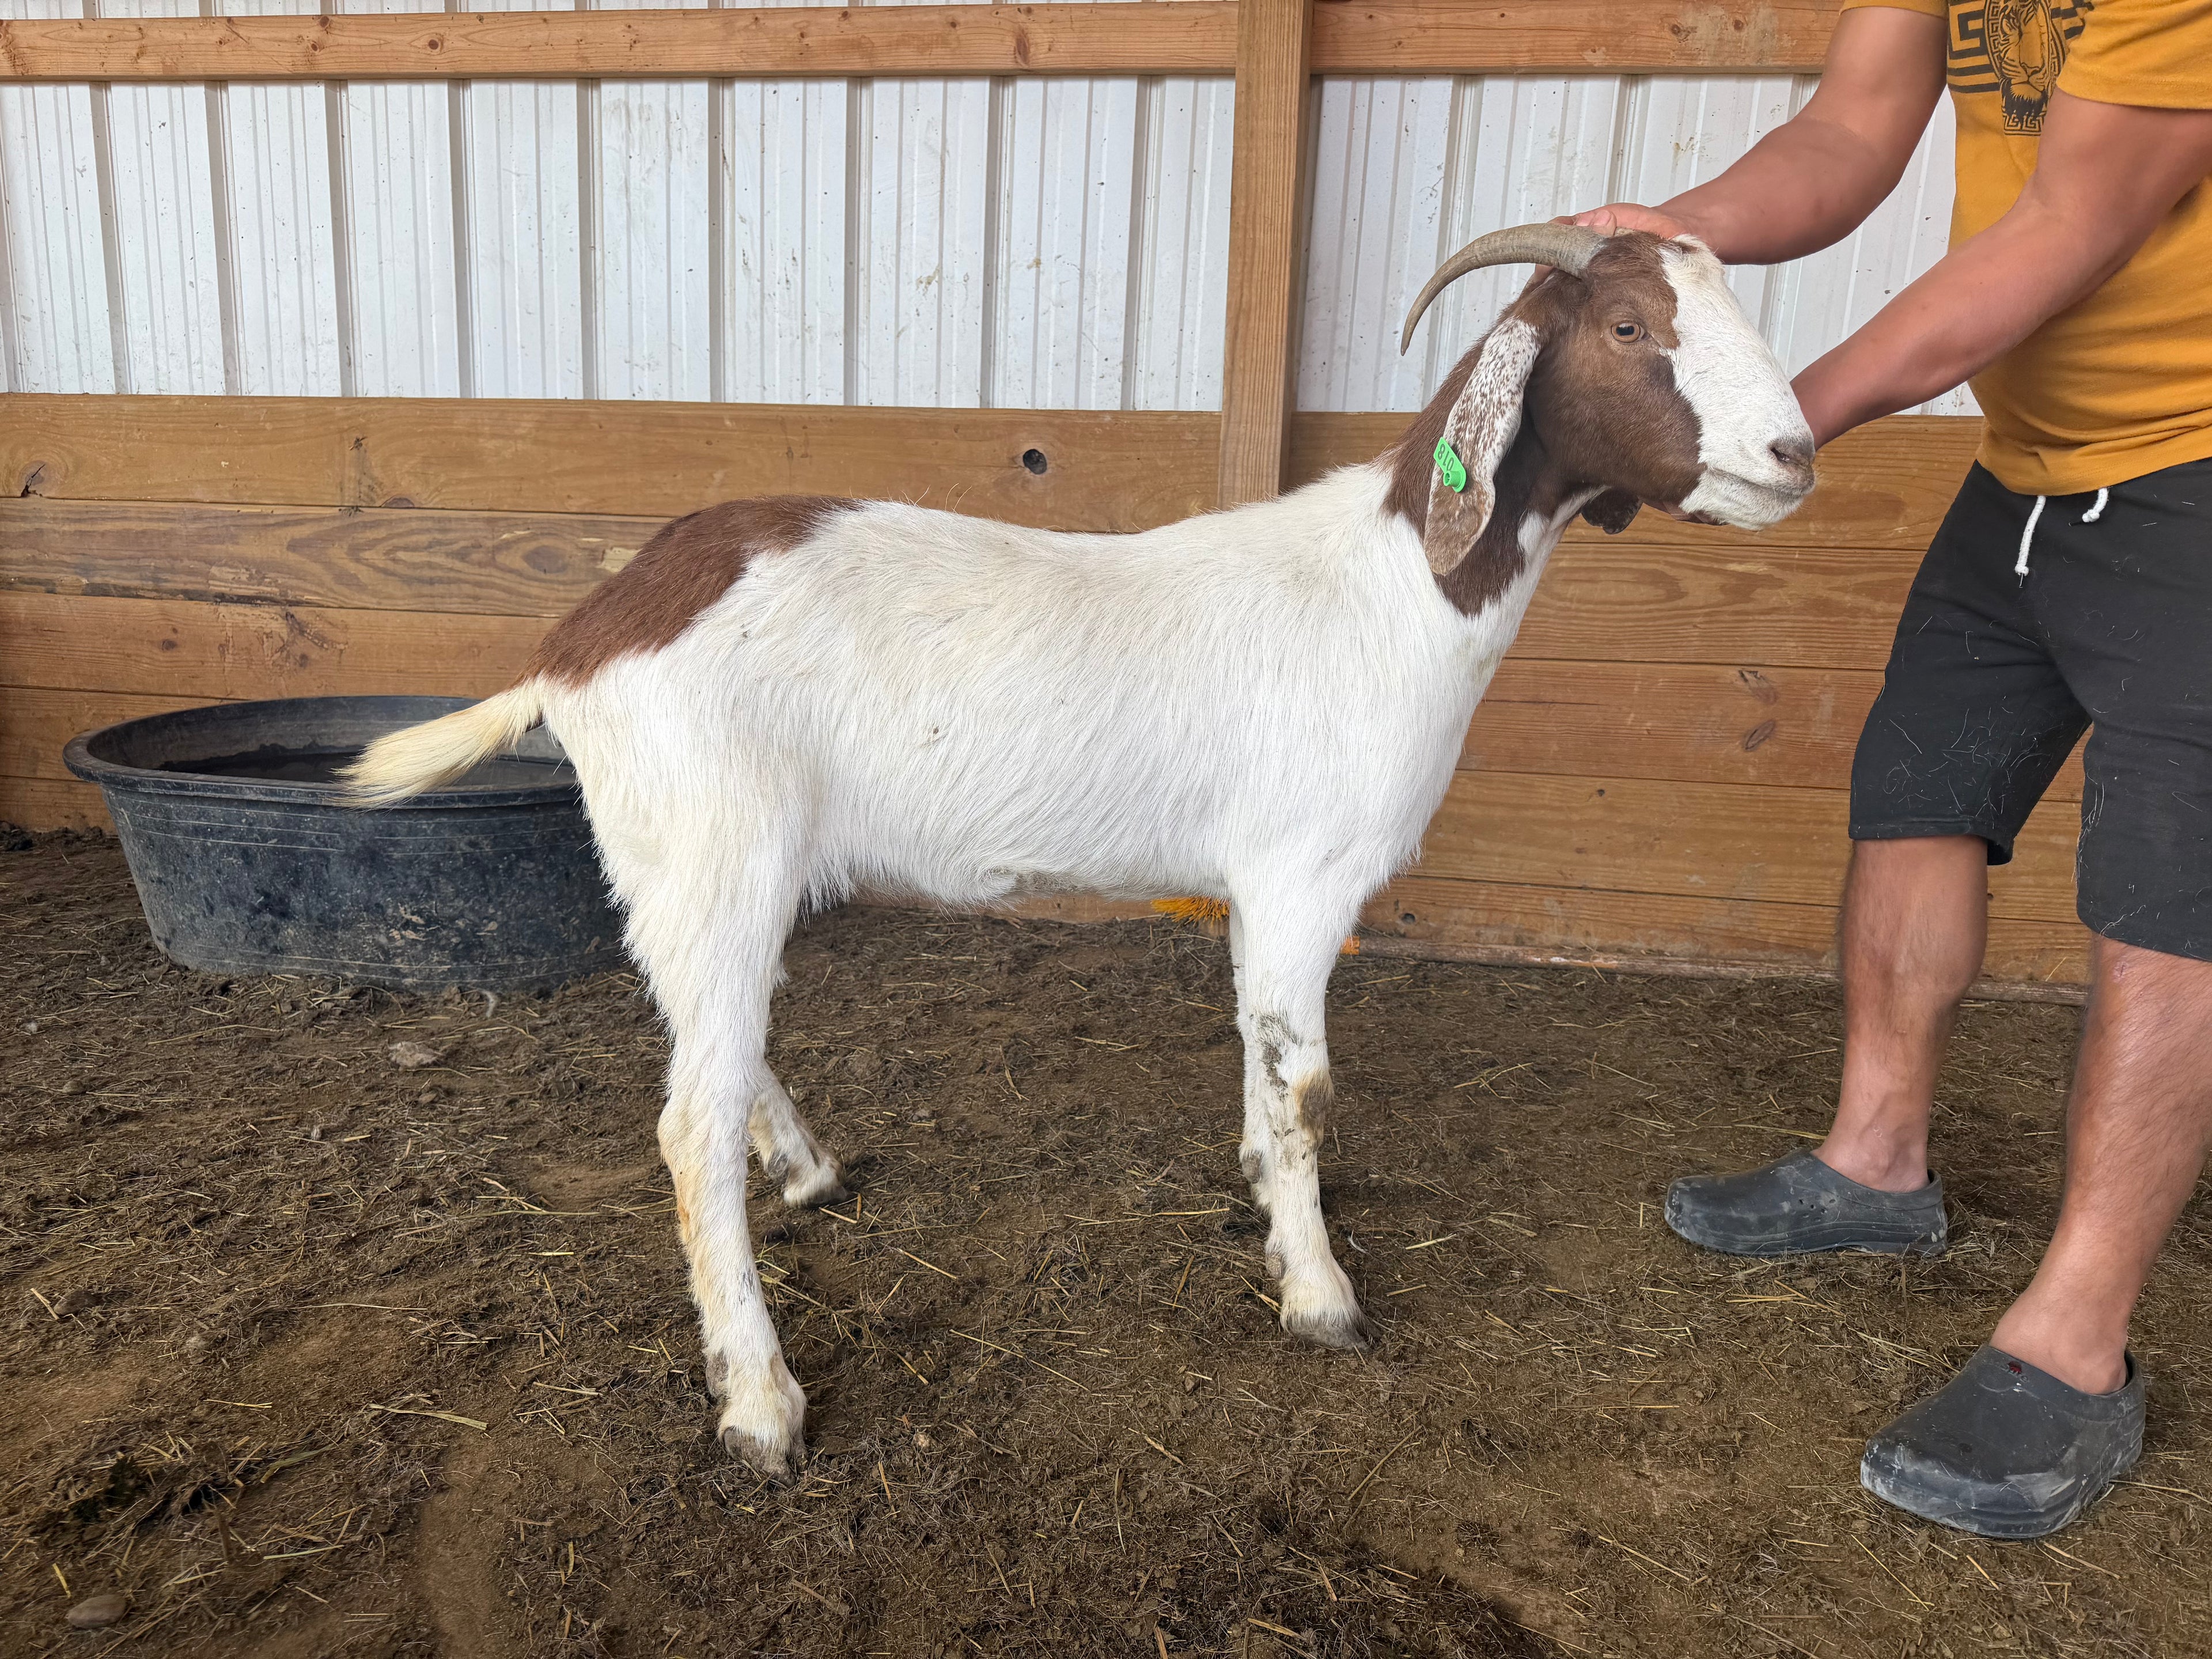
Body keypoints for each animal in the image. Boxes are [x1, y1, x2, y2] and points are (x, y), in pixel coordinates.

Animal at [346, 223, 1816, 1481]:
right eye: (1628, 324)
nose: (1795, 451)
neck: (1394, 591)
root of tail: (578, 642)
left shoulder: (1256, 891)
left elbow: (1257, 1061)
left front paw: (1264, 1204)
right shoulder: (1305, 875)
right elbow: (1307, 1088)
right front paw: (1321, 1295)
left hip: (672, 868)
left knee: (710, 1042)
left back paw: (807, 1168)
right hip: (718, 846)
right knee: (685, 1124)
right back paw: (760, 1401)